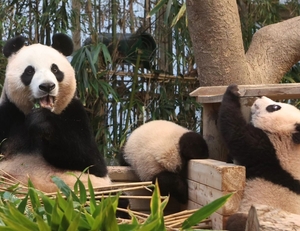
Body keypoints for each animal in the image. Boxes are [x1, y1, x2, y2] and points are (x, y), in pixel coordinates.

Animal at [0, 33, 111, 193]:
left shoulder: (74, 112)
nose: (47, 86)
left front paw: (42, 121)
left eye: (55, 69)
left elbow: (92, 162)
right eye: (29, 71)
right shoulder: (9, 114)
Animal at [218, 85, 300, 231]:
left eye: (274, 107)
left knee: (237, 221)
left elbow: (236, 132)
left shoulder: (267, 151)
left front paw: (232, 91)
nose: (260, 96)